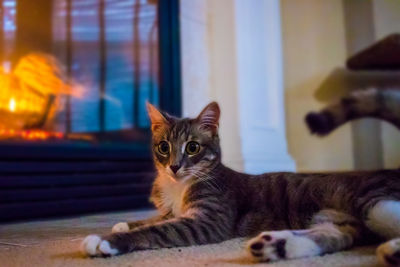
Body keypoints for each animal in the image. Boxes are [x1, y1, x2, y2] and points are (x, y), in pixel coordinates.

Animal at [83, 101, 400, 266]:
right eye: (163, 147)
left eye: (193, 147)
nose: (174, 166)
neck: (179, 186)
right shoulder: (173, 209)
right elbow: (155, 219)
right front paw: (123, 224)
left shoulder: (209, 219)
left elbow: (161, 229)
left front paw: (107, 240)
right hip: (340, 219)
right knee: (340, 235)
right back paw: (278, 245)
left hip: (373, 201)